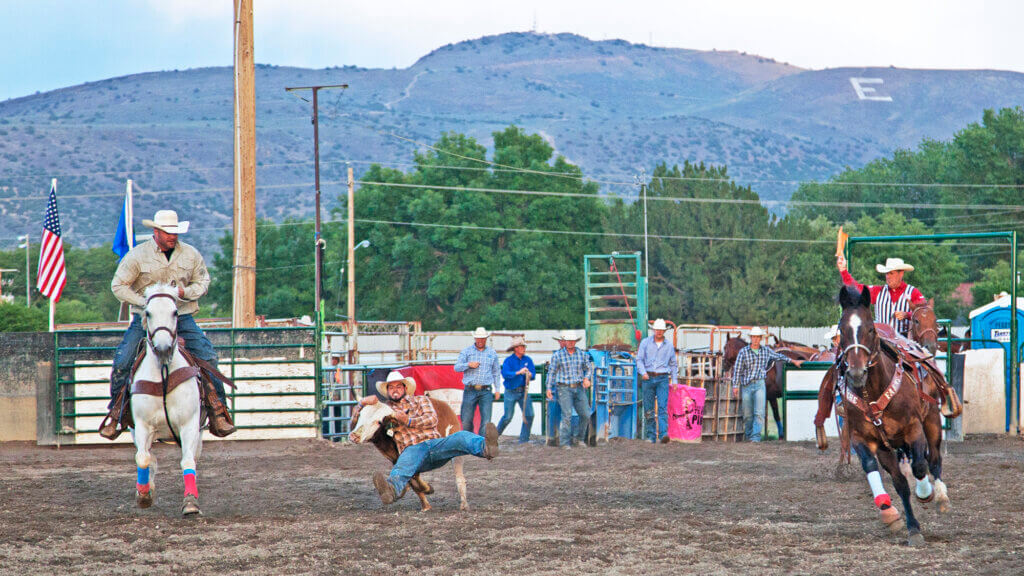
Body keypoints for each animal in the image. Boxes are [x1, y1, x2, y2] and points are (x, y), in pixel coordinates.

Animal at [132, 282, 203, 516]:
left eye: (175, 312)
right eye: (148, 313)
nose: (163, 349)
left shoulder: (190, 424)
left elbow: (188, 461)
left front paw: (190, 502)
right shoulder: (142, 425)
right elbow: (143, 458)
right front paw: (144, 495)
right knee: (147, 456)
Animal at [835, 284, 946, 545]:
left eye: (869, 329)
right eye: (842, 329)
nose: (856, 372)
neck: (872, 392)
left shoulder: (914, 428)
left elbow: (919, 466)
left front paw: (924, 493)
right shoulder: (862, 438)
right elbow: (878, 471)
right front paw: (896, 518)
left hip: (932, 423)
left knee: (934, 460)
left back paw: (940, 495)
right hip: (888, 447)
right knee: (901, 480)